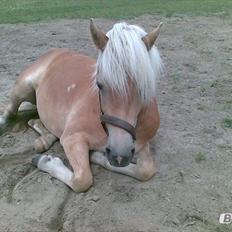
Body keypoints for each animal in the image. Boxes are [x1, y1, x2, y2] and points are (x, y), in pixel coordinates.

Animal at [0, 19, 163, 192]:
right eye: (99, 84)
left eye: (145, 87)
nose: (119, 155)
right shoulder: (72, 138)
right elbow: (82, 180)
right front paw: (45, 161)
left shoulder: (141, 144)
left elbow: (146, 170)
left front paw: (97, 156)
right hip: (22, 88)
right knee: (10, 111)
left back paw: (43, 137)